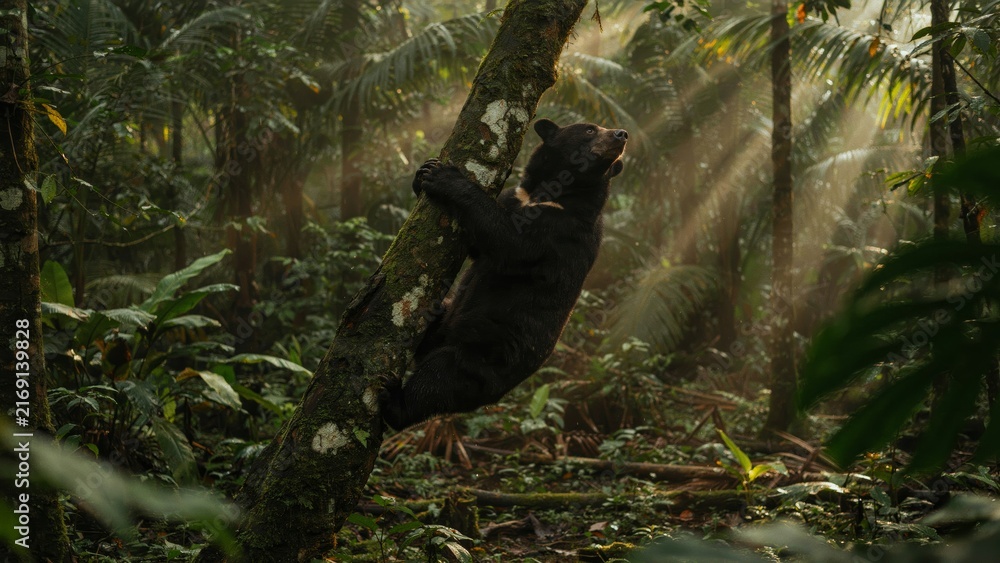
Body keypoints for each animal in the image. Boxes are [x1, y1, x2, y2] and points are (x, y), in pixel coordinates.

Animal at [380, 118, 628, 430]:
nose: (622, 135)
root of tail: (495, 398)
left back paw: (393, 401)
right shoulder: (517, 197)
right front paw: (424, 170)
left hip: (484, 356)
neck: (549, 193)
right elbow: (478, 246)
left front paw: (444, 176)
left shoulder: (558, 229)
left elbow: (509, 242)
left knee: (439, 378)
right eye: (590, 130)